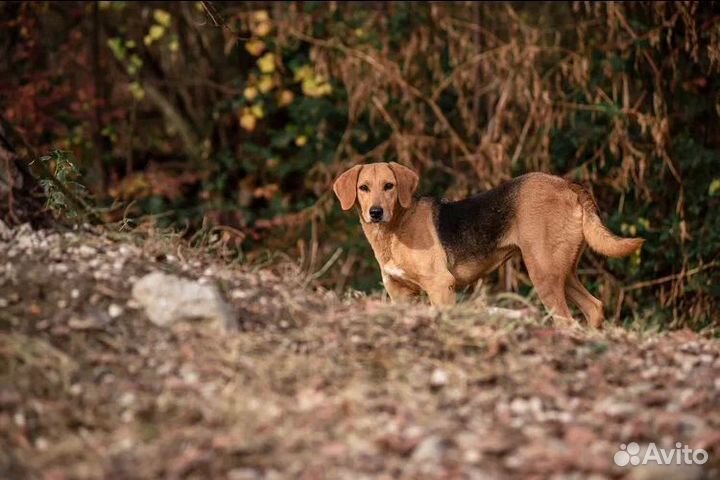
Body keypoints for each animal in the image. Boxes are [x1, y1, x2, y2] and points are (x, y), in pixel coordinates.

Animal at [334, 163, 644, 328]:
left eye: (389, 186)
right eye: (363, 188)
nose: (375, 212)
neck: (395, 229)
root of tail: (567, 184)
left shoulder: (441, 286)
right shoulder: (399, 293)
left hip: (543, 274)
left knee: (567, 321)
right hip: (560, 271)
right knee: (594, 307)